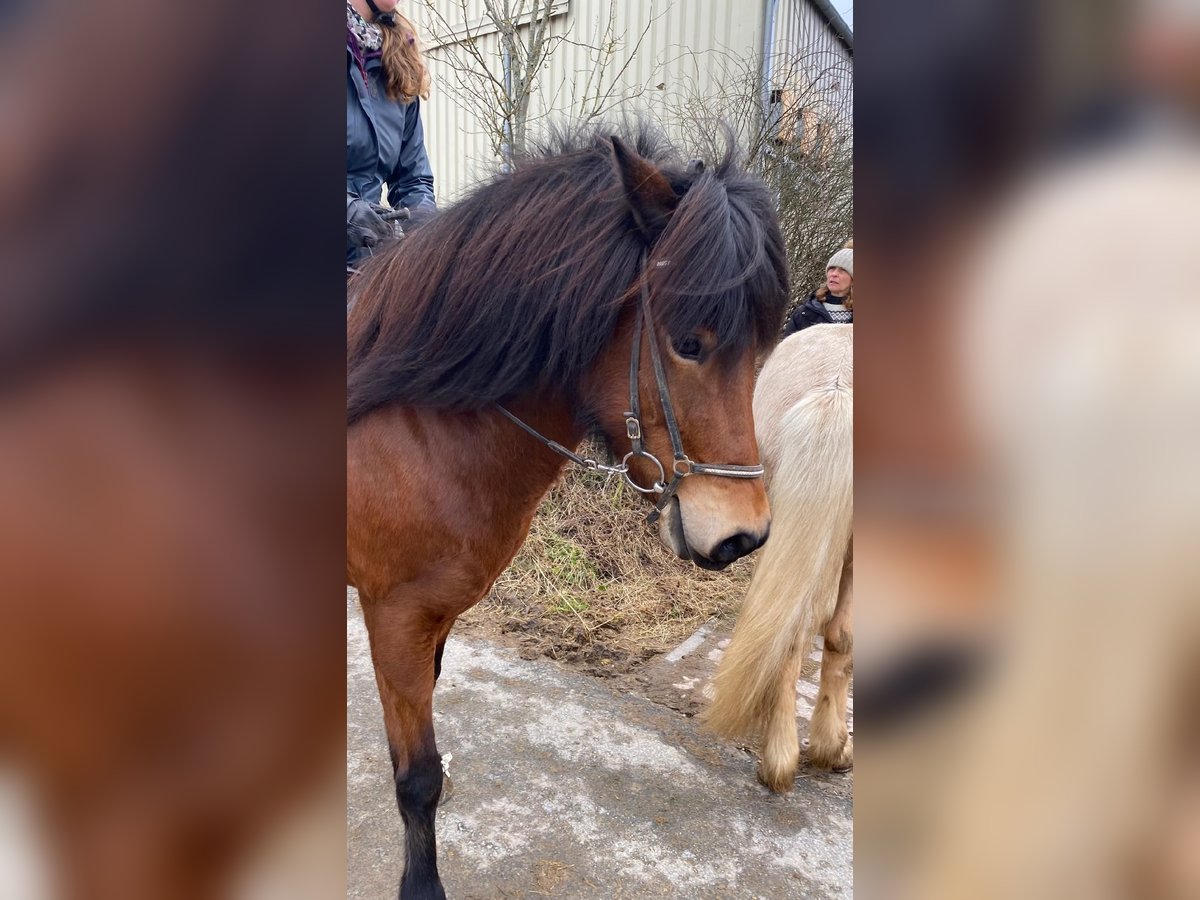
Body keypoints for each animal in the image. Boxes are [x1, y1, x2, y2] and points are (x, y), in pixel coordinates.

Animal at [345, 123, 787, 897]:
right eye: (688, 343)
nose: (742, 535)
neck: (415, 420)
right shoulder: (394, 614)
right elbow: (418, 781)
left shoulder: (433, 617)